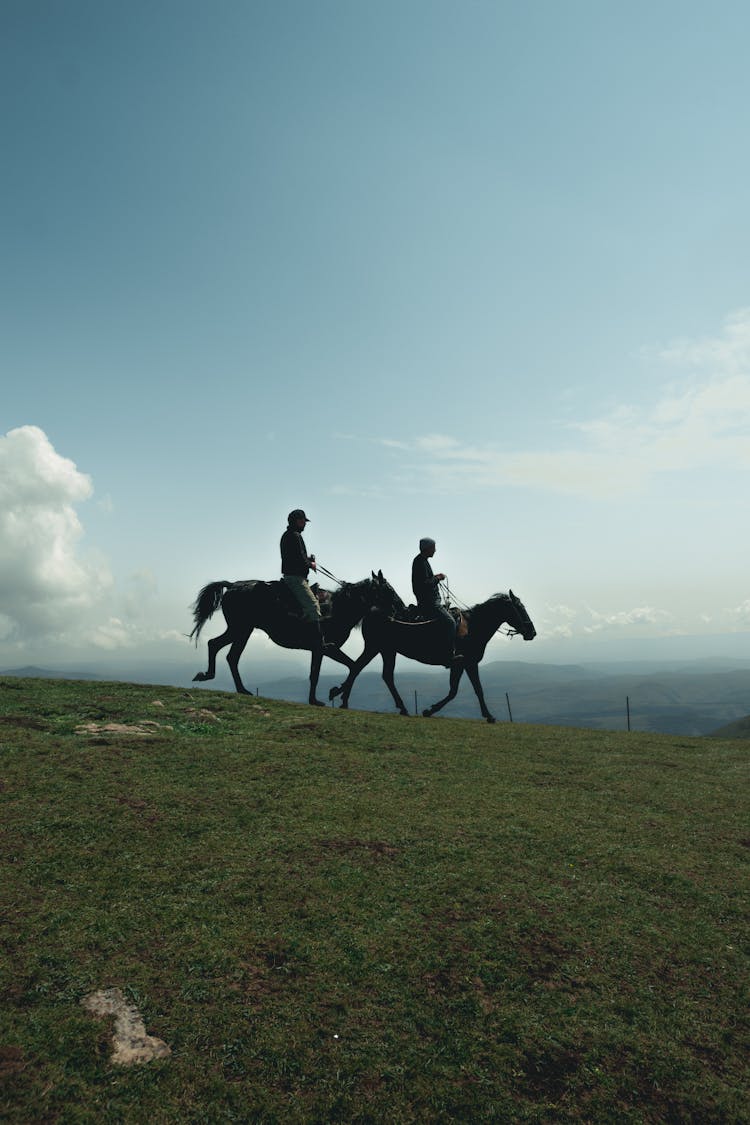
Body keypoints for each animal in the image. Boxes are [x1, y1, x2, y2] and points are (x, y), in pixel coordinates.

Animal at [191, 571, 402, 702]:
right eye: (389, 589)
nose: (400, 607)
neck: (339, 608)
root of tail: (232, 586)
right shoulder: (326, 647)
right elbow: (346, 667)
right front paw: (330, 694)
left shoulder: (320, 650)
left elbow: (326, 671)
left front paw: (324, 696)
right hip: (241, 629)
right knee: (223, 650)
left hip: (241, 630)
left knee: (222, 650)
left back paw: (227, 683)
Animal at [330, 589, 537, 720]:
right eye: (520, 608)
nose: (532, 632)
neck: (473, 627)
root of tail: (372, 611)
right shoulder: (465, 663)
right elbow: (461, 691)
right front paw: (430, 710)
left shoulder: (464, 665)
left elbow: (468, 690)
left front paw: (487, 715)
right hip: (376, 648)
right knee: (359, 668)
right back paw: (345, 698)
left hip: (385, 650)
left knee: (375, 673)